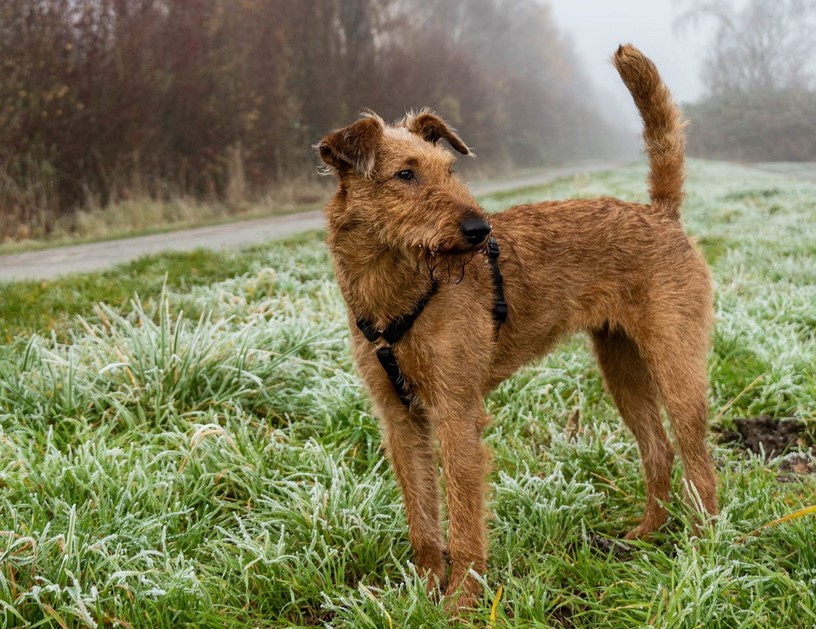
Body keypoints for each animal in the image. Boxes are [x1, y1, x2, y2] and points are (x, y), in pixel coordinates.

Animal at [316, 43, 716, 608]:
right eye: (405, 174)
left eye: (449, 169)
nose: (479, 229)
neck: (396, 291)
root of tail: (661, 213)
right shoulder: (399, 419)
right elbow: (422, 517)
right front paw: (420, 592)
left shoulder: (456, 412)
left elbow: (464, 519)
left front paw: (461, 602)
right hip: (621, 367)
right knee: (657, 450)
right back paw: (647, 535)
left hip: (677, 366)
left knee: (697, 462)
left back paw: (703, 551)